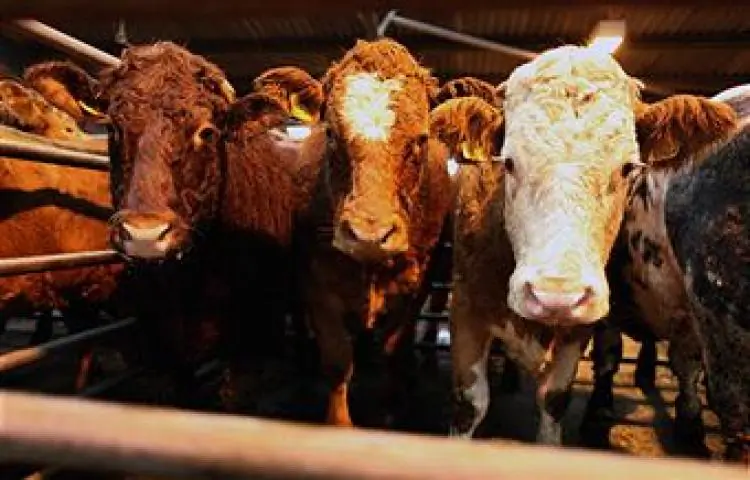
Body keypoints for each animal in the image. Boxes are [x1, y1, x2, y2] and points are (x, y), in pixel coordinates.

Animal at [253, 38, 453, 427]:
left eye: (420, 140)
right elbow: (336, 359)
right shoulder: (316, 283)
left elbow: (394, 348)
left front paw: (392, 405)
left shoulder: (415, 286)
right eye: (331, 133)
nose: (368, 235)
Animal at [429, 45, 735, 445]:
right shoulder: (466, 308)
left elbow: (555, 399)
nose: (556, 295)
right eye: (508, 162)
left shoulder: (579, 329)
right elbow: (469, 405)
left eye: (628, 168)